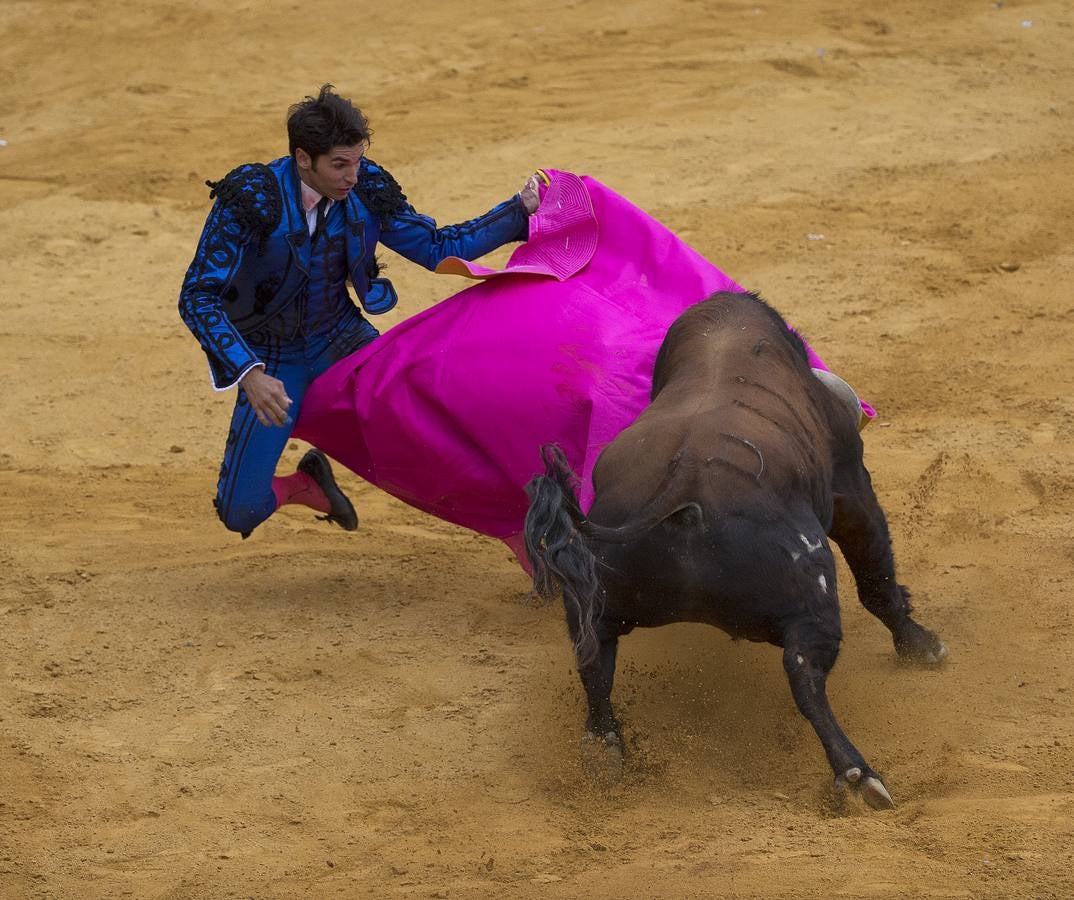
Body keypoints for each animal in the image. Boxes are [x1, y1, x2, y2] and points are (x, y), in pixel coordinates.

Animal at [524, 292, 945, 811]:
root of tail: (682, 489)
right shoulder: (851, 485)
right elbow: (876, 577)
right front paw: (920, 645)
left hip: (597, 604)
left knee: (595, 665)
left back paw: (605, 752)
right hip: (811, 597)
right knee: (805, 677)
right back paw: (859, 775)